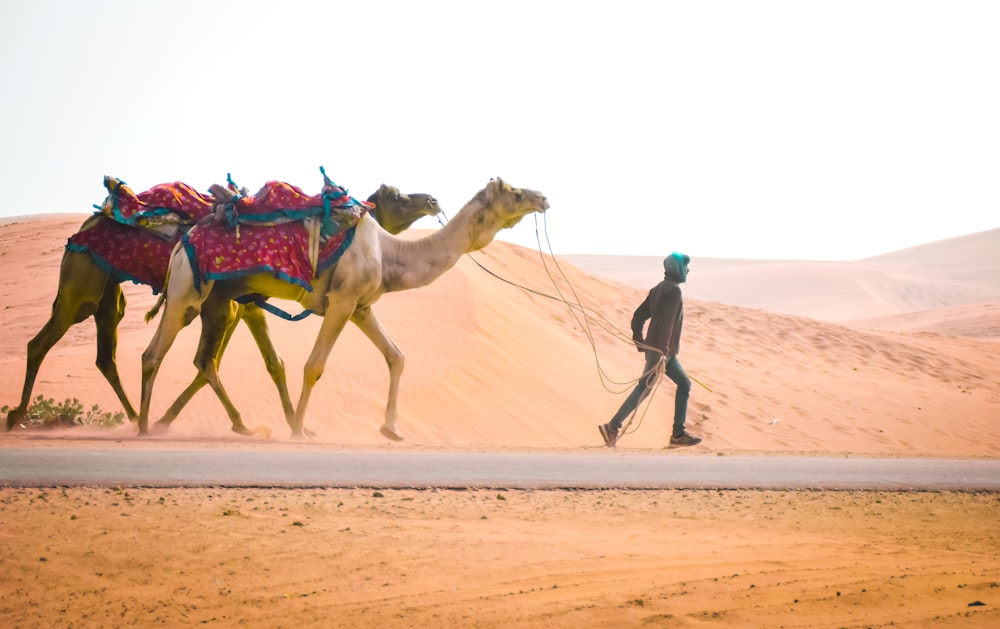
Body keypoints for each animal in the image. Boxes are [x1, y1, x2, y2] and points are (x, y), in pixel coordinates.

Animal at [3, 185, 440, 432]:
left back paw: (131, 417)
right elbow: (236, 362)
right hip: (83, 287)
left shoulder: (237, 304)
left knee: (105, 356)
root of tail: (82, 229)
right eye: (397, 196)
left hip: (109, 294)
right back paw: (18, 416)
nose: (432, 199)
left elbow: (247, 362)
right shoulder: (237, 305)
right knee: (41, 343)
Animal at [138, 179, 552, 440]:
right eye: (516, 194)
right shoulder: (341, 301)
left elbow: (396, 356)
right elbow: (314, 365)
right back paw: (143, 427)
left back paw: (215, 424)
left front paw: (391, 429)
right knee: (154, 353)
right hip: (187, 292)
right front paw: (300, 429)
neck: (390, 253)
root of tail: (182, 243)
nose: (543, 198)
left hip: (218, 299)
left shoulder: (361, 306)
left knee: (203, 359)